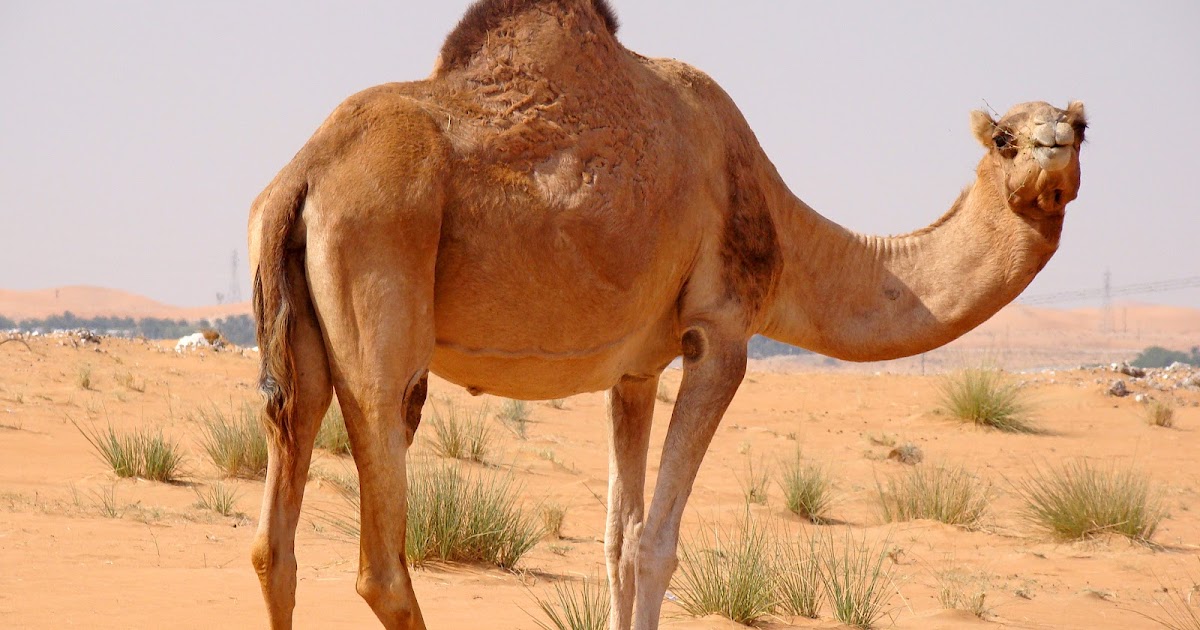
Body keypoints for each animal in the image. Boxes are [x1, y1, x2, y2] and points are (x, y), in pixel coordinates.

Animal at [246, 0, 1086, 628]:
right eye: (1005, 138)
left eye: (1080, 127)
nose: (1052, 147)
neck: (782, 227)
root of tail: (301, 175)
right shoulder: (720, 334)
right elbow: (656, 542)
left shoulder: (635, 371)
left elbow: (617, 540)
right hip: (382, 277)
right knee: (382, 557)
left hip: (297, 335)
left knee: (274, 540)